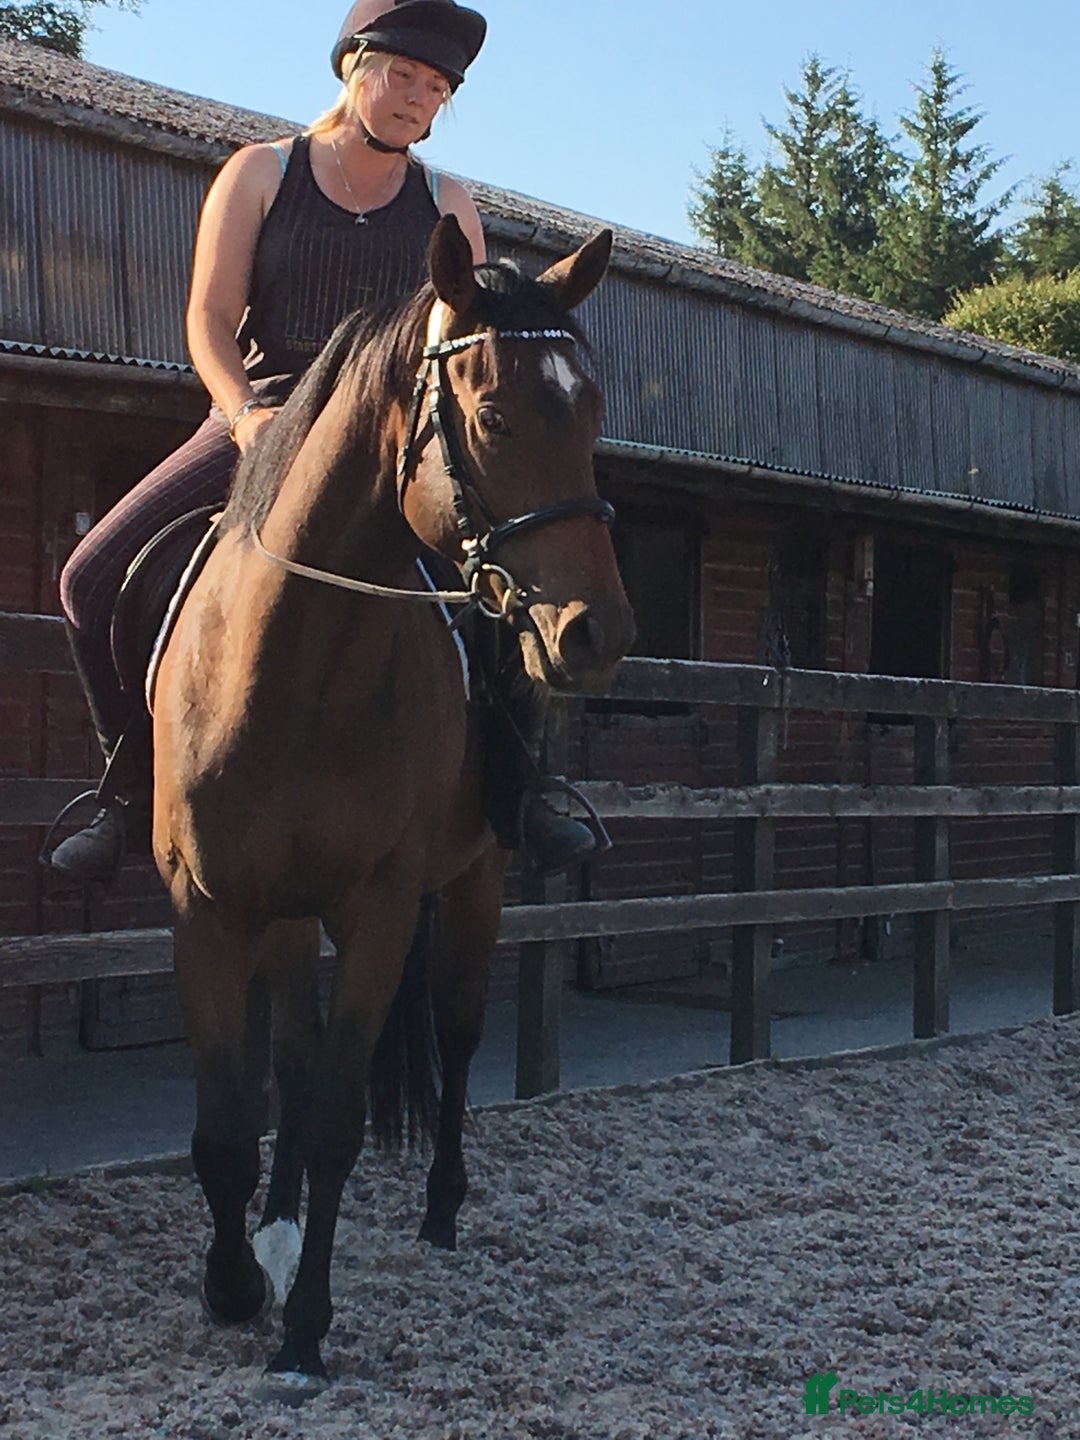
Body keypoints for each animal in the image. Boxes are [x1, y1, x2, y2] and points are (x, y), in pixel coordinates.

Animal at [150, 213, 635, 1388]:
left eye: (593, 411)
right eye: (495, 415)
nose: (596, 634)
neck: (290, 666)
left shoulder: (377, 908)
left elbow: (338, 1115)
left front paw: (304, 1330)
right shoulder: (207, 910)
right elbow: (231, 1120)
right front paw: (235, 1283)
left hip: (472, 885)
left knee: (454, 1039)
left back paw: (442, 1210)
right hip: (284, 915)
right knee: (292, 1058)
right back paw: (276, 1229)